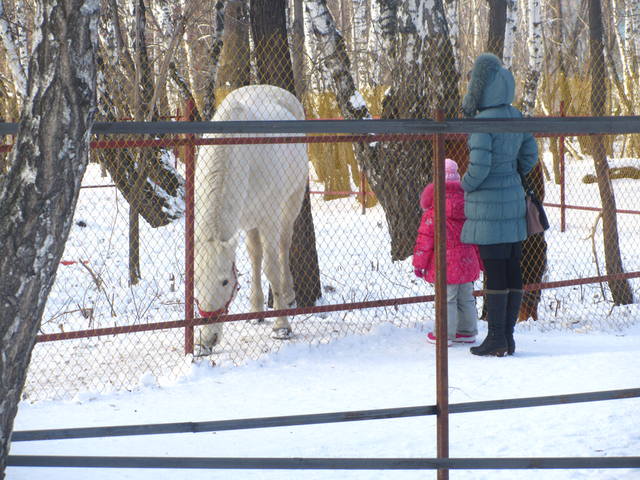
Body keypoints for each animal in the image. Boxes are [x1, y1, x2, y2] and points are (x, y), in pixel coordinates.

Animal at [194, 84, 308, 350]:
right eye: (195, 282)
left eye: (225, 282)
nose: (208, 340)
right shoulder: (244, 221)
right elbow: (255, 258)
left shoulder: (269, 218)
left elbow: (271, 268)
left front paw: (282, 327)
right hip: (251, 220)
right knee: (255, 255)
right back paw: (256, 310)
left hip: (292, 201)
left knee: (283, 246)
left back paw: (288, 295)